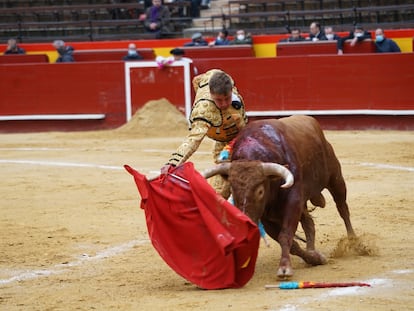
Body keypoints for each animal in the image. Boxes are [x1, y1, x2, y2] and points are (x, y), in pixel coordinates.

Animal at [201, 116, 356, 280]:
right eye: (232, 189)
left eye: (260, 191)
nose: (247, 222)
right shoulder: (267, 217)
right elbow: (292, 244)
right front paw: (315, 258)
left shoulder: (293, 202)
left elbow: (285, 235)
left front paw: (285, 268)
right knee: (309, 223)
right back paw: (312, 250)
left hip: (335, 179)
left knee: (342, 208)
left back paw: (354, 242)